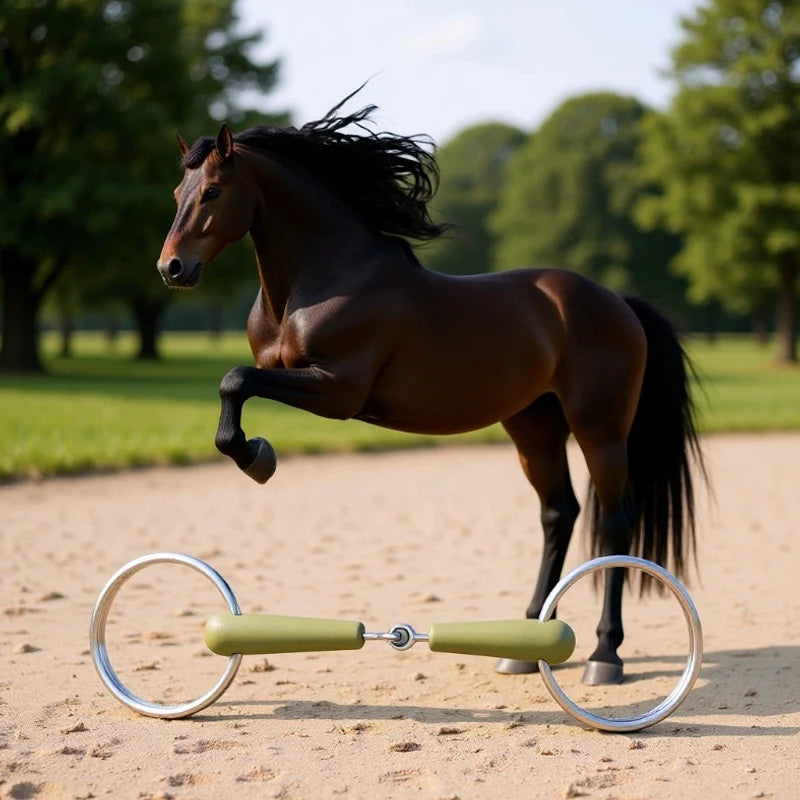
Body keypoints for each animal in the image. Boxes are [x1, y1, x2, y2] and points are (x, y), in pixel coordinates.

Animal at [157, 96, 705, 684]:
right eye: (178, 193)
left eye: (213, 191)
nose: (172, 268)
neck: (324, 279)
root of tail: (618, 301)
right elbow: (236, 384)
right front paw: (255, 454)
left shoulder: (338, 391)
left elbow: (234, 380)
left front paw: (257, 457)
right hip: (534, 428)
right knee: (559, 515)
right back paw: (524, 647)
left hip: (600, 429)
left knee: (616, 522)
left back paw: (605, 655)